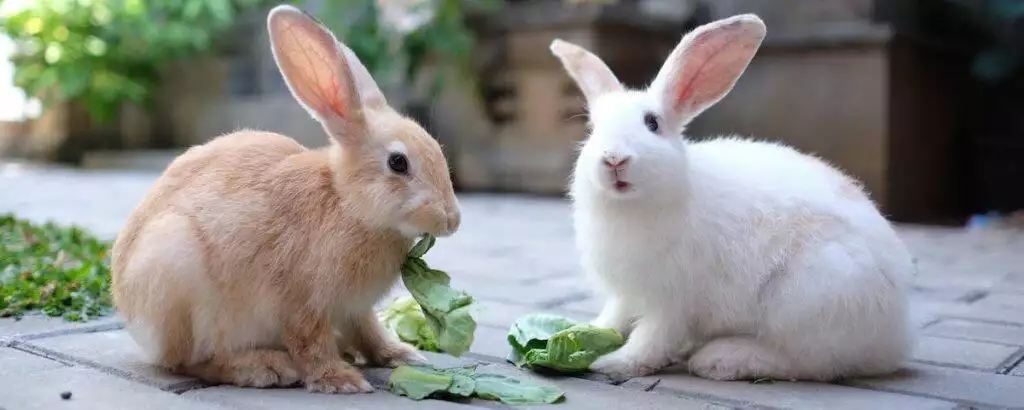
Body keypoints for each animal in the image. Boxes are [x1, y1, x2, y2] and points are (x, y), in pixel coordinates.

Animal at [110, 5, 461, 394]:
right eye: (398, 163)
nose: (451, 220)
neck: (347, 202)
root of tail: (134, 320)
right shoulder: (302, 304)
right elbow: (311, 344)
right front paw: (341, 380)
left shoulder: (355, 309)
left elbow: (369, 332)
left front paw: (401, 355)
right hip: (177, 273)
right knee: (192, 362)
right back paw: (265, 367)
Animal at [549, 13, 914, 382]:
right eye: (592, 130)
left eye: (652, 124)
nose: (613, 159)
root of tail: (894, 337)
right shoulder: (625, 294)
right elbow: (614, 318)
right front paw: (581, 333)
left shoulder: (673, 302)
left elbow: (652, 339)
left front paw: (614, 363)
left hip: (806, 298)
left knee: (805, 360)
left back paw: (721, 359)